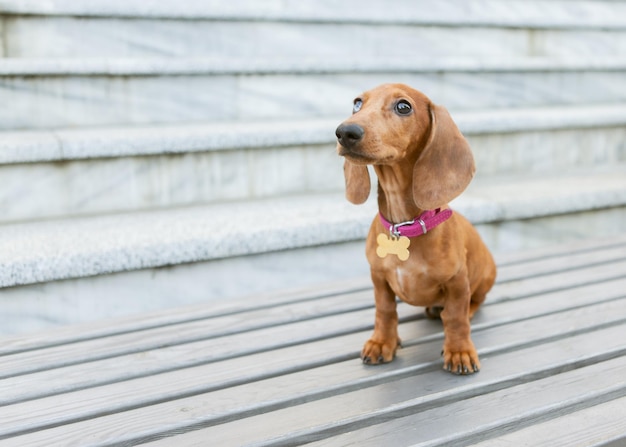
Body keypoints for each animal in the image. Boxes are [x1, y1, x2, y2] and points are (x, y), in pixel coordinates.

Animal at [334, 83, 494, 374]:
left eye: (403, 106)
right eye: (357, 103)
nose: (345, 132)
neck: (404, 226)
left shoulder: (457, 282)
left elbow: (455, 317)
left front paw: (460, 350)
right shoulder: (378, 278)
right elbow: (385, 311)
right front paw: (382, 342)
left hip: (486, 275)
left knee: (473, 302)